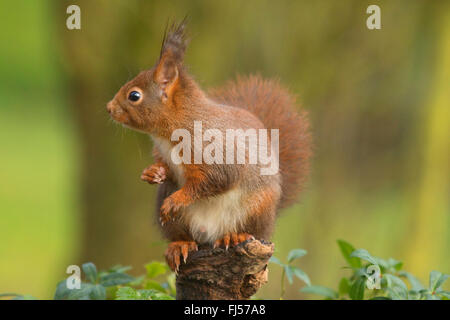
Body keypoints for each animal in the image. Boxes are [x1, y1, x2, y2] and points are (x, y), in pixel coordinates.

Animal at [107, 20, 312, 272]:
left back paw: (235, 236)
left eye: (134, 96)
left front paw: (177, 199)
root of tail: (209, 234)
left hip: (256, 208)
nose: (108, 108)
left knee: (248, 230)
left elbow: (215, 179)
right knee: (183, 235)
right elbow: (167, 168)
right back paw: (180, 245)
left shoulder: (216, 152)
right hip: (174, 214)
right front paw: (153, 172)